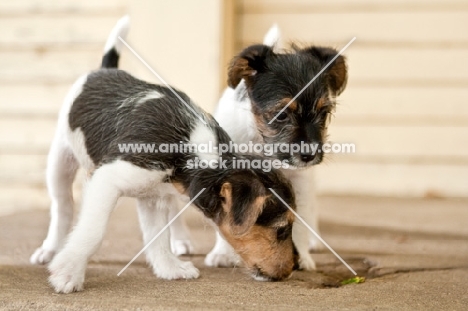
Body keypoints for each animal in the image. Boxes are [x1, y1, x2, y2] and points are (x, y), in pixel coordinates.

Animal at [31, 17, 298, 294]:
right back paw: (51, 249)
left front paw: (169, 268)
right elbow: (93, 232)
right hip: (60, 160)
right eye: (281, 229)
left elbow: (158, 236)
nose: (293, 268)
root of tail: (105, 69)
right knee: (62, 206)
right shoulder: (107, 179)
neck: (190, 150)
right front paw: (68, 273)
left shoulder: (154, 197)